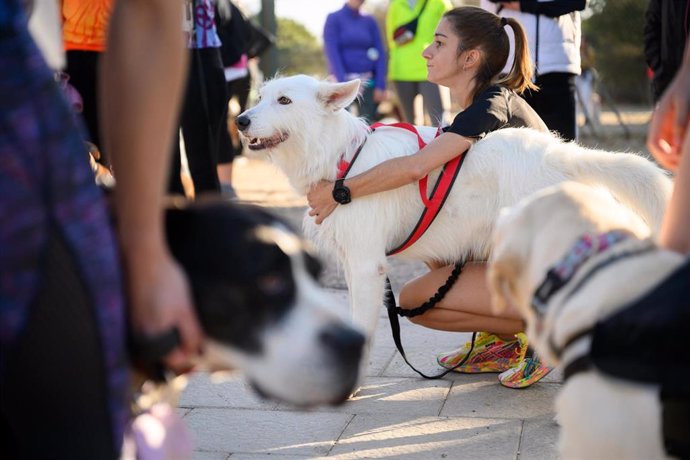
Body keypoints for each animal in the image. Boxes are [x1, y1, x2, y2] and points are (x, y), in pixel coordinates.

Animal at [235, 74, 668, 344]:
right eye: (261, 97)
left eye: (284, 101)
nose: (239, 120)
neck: (341, 157)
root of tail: (562, 155)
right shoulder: (351, 259)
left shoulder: (365, 264)